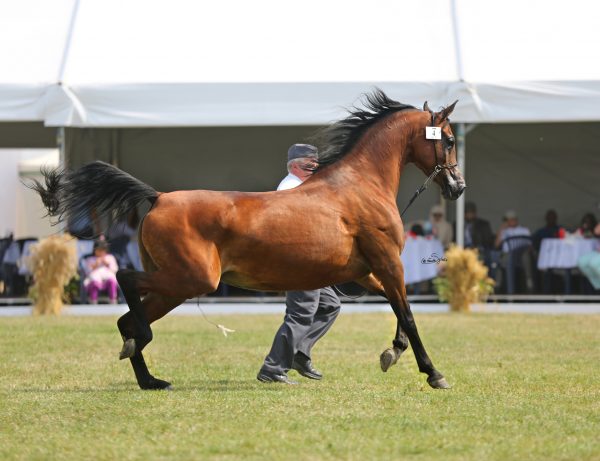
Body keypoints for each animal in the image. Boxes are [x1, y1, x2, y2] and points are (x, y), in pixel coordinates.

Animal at [30, 90, 466, 392]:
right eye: (447, 138)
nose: (458, 187)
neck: (359, 185)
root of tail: (158, 197)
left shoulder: (364, 272)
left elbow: (398, 311)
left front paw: (391, 353)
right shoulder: (387, 262)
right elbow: (408, 314)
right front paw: (435, 374)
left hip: (175, 286)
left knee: (126, 319)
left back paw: (150, 379)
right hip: (192, 279)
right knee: (124, 280)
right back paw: (143, 354)